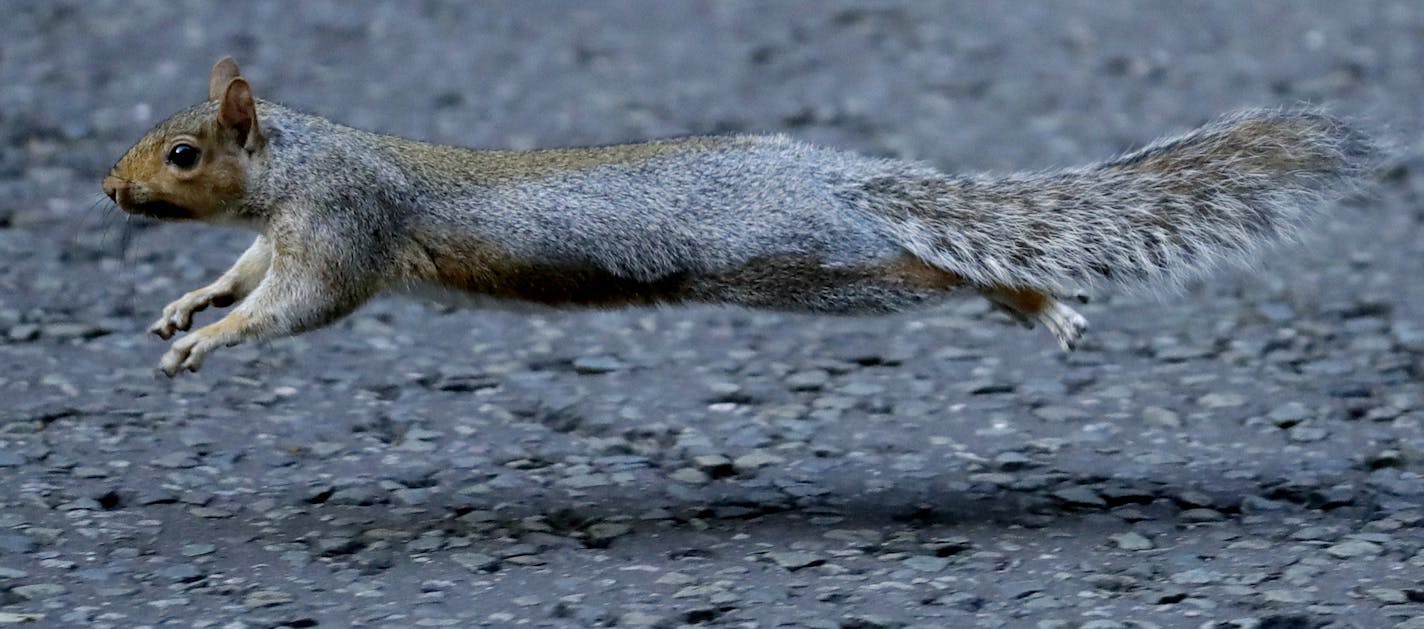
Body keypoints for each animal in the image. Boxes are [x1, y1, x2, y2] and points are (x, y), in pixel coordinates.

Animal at [103, 56, 1378, 375]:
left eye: (182, 153)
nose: (110, 193)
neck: (303, 159)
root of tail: (832, 176)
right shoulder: (284, 229)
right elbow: (244, 272)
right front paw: (185, 305)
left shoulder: (345, 226)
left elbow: (298, 304)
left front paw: (210, 343)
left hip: (815, 264)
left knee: (944, 270)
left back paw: (1034, 298)